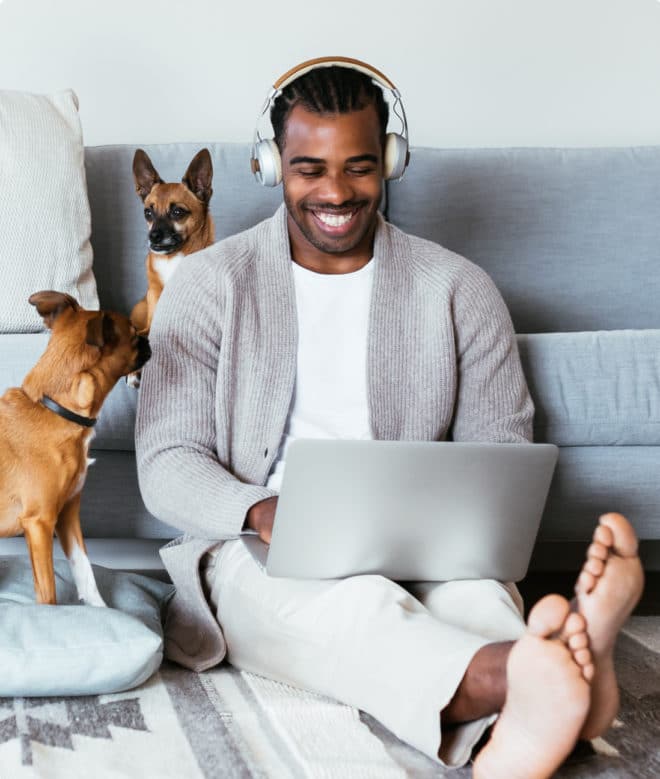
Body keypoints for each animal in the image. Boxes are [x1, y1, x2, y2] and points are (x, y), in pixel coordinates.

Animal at [0, 290, 151, 604]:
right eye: (133, 333)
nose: (149, 337)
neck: (55, 409)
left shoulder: (68, 515)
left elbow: (85, 572)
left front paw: (100, 609)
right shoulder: (40, 523)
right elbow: (48, 594)